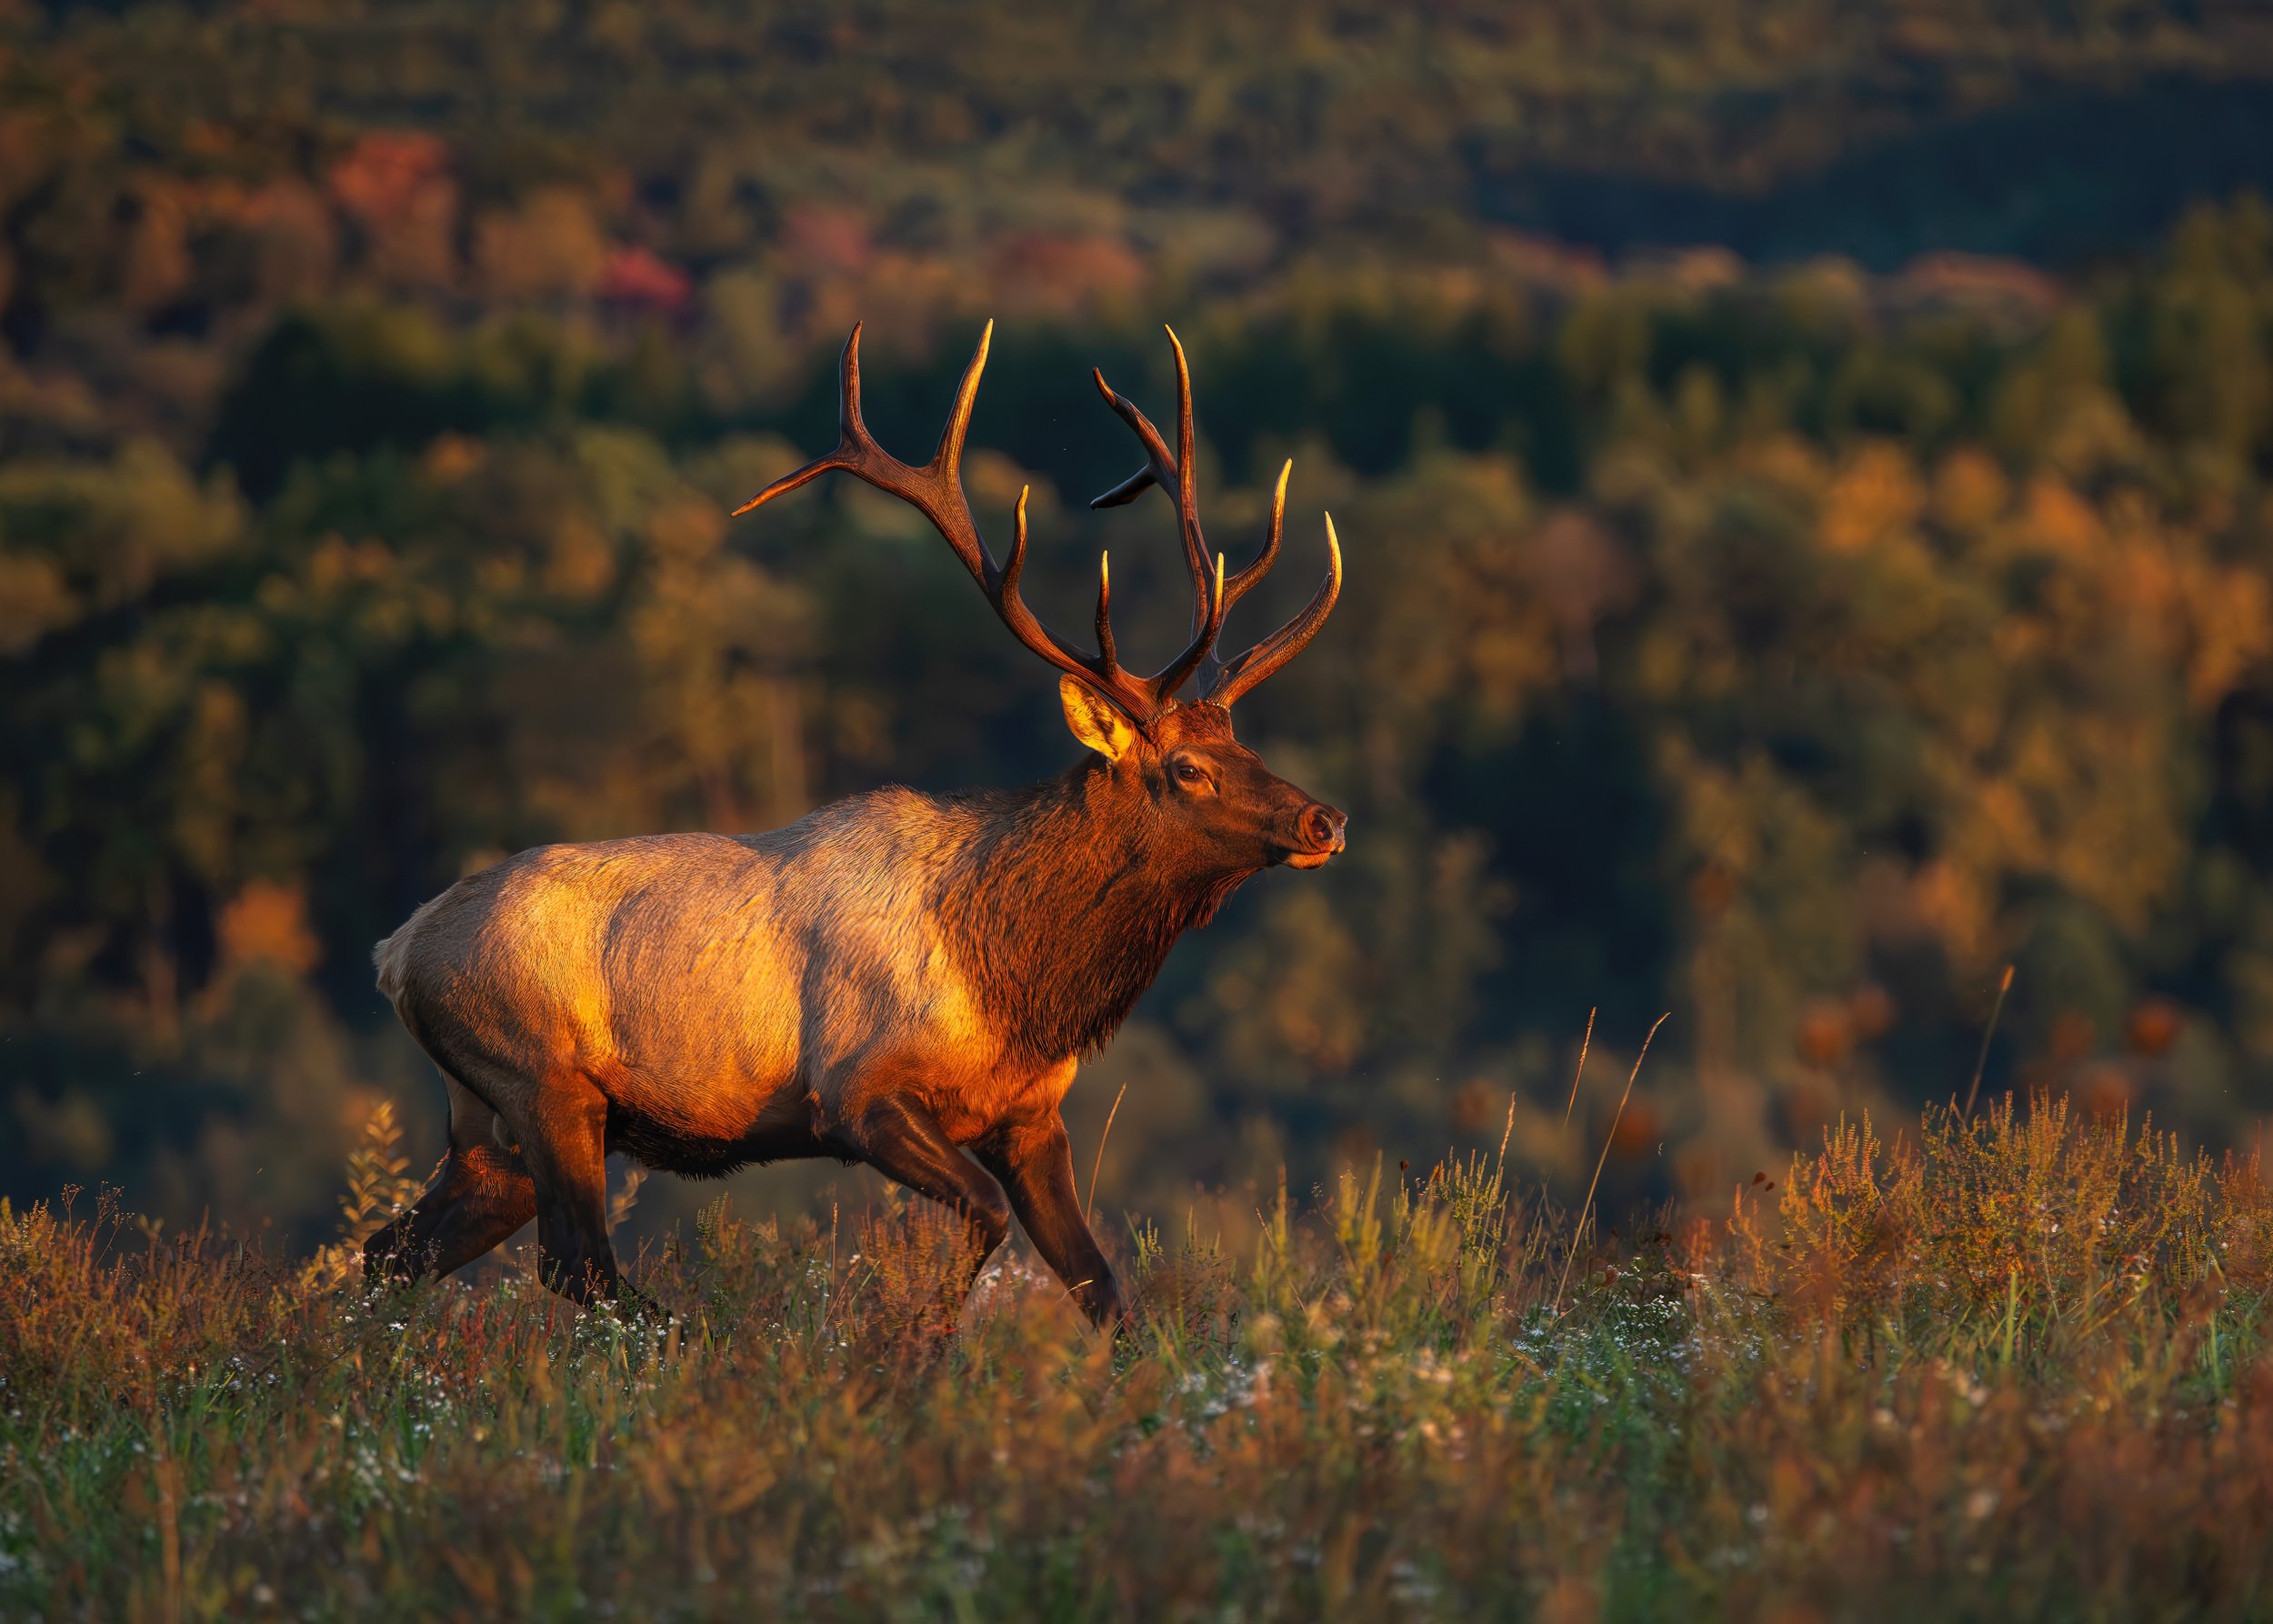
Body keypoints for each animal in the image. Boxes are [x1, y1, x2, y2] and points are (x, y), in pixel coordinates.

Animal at [363, 321, 1345, 1329]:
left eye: (1241, 740)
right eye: (1187, 767)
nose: (1325, 819)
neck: (1018, 988)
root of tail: (395, 952)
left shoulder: (1030, 1116)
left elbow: (1103, 1288)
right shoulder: (856, 1090)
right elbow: (985, 1219)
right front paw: (909, 1337)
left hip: (487, 1129)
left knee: (391, 1252)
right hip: (545, 1084)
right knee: (576, 1265)